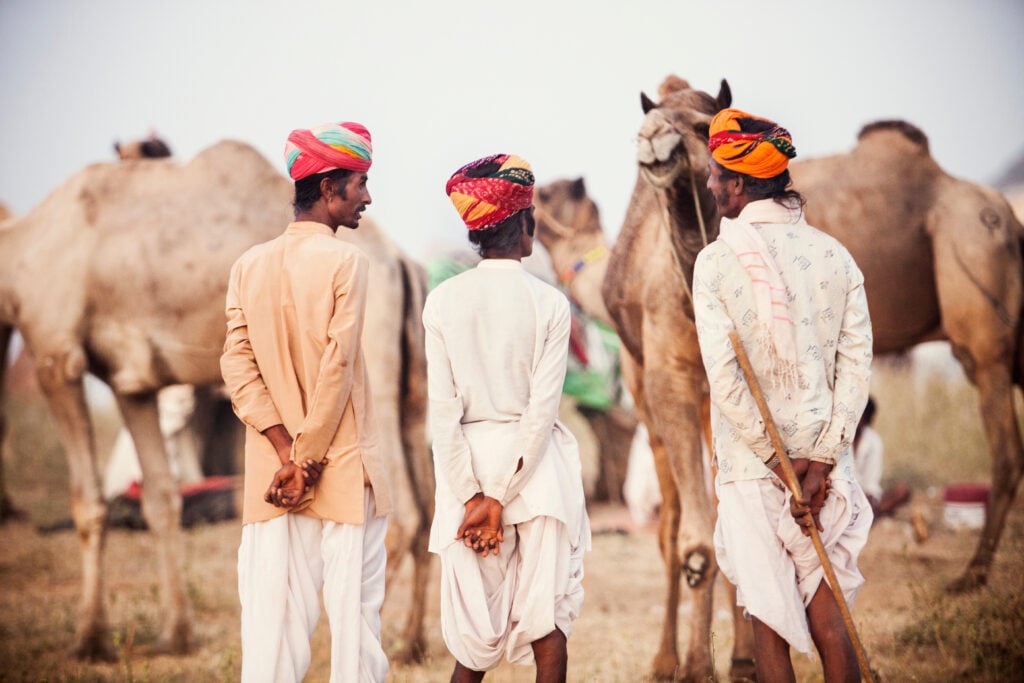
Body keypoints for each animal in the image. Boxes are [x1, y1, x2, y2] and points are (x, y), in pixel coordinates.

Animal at [0, 143, 434, 663]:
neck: (22, 250)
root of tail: (401, 262)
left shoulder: (54, 353)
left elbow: (89, 504)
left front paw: (90, 640)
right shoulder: (131, 382)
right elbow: (160, 500)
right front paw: (174, 634)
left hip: (374, 364)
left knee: (403, 515)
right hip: (412, 382)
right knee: (429, 506)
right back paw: (410, 642)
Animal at [544, 72, 1024, 679]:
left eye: (701, 126)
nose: (653, 139)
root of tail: (1006, 217)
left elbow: (711, 528)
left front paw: (713, 662)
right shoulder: (667, 379)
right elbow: (693, 534)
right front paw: (694, 663)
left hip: (979, 303)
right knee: (685, 520)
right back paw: (691, 657)